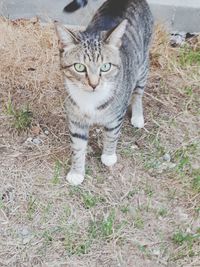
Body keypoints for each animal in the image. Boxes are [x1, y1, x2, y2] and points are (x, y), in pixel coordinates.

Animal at [54, 0, 153, 185]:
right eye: (79, 67)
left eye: (105, 67)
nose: (94, 84)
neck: (90, 100)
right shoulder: (76, 120)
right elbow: (78, 147)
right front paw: (77, 172)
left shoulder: (116, 116)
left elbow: (112, 134)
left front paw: (108, 156)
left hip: (143, 65)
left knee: (138, 92)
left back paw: (137, 115)